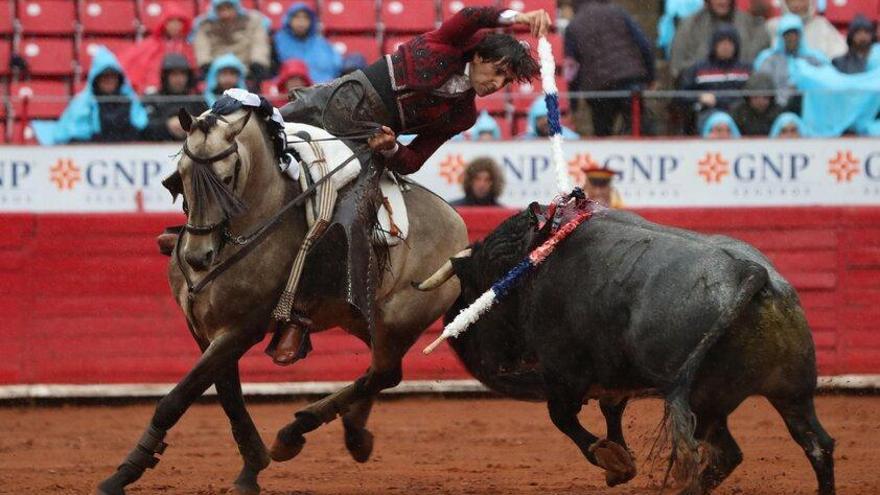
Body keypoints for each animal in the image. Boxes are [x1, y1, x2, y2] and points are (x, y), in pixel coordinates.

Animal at [96, 104, 468, 495]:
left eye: (227, 178)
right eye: (180, 174)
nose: (198, 256)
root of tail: (457, 222)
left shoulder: (243, 329)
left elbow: (177, 398)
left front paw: (124, 473)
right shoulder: (203, 329)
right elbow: (228, 397)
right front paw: (251, 468)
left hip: (399, 321)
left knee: (382, 372)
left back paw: (297, 432)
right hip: (361, 318)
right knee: (383, 373)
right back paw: (352, 434)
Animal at [430, 207, 836, 495]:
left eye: (474, 292)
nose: (456, 340)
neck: (533, 261)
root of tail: (752, 273)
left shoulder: (563, 370)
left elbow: (562, 417)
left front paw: (614, 461)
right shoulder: (614, 372)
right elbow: (611, 410)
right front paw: (620, 462)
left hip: (706, 404)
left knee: (726, 453)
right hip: (792, 392)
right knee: (817, 444)